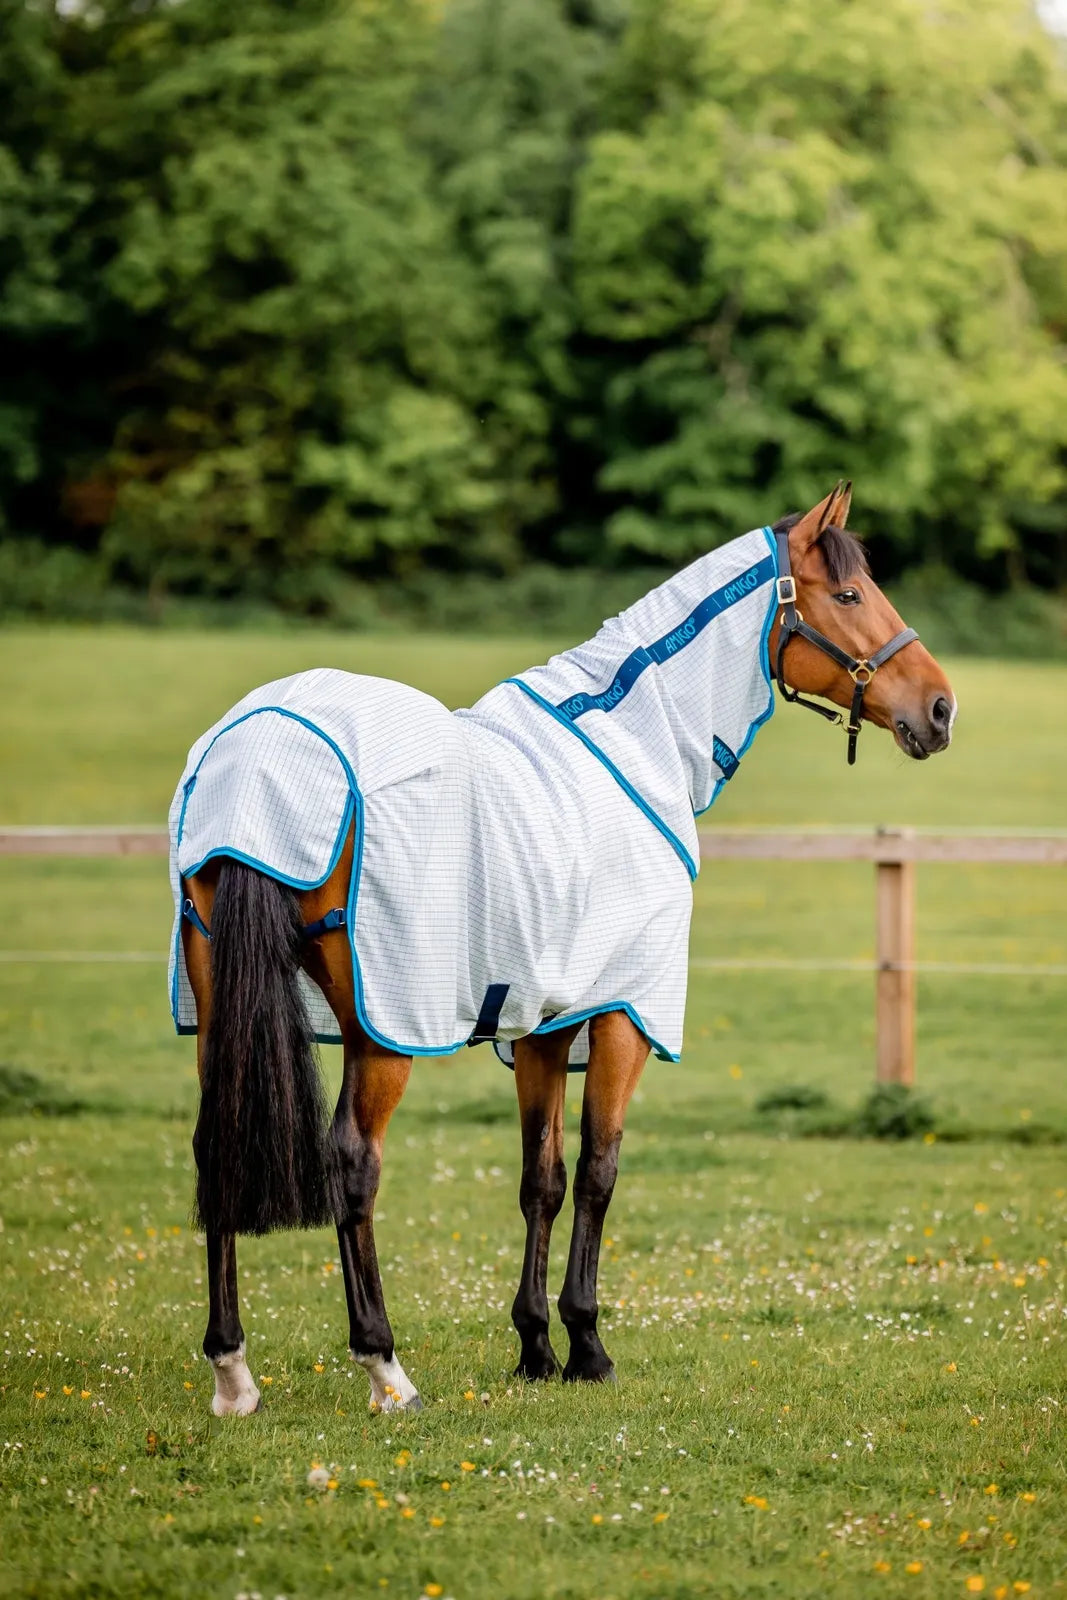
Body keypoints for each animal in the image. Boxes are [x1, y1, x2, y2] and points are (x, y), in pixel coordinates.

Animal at [169, 483, 955, 1417]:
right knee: (353, 1162)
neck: (633, 747)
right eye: (847, 594)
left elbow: (538, 1179)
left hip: (223, 1005)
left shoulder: (543, 1023)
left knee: (217, 1145)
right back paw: (384, 1367)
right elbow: (597, 1171)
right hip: (382, 1027)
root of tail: (260, 751)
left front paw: (534, 1347)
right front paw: (586, 1344)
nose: (939, 707)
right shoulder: (623, 1014)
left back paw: (232, 1372)